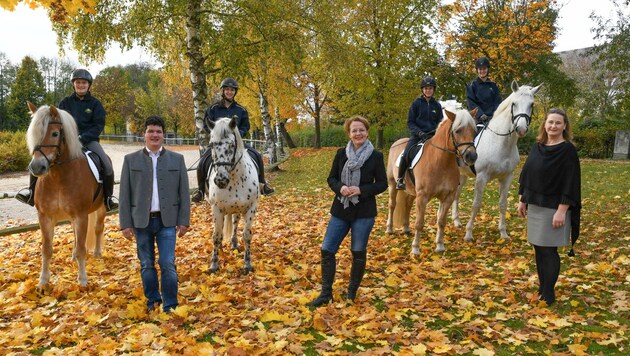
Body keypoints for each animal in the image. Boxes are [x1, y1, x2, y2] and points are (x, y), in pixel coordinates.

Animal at [25, 101, 106, 288]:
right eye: (34, 133)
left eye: (55, 134)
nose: (37, 167)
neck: (58, 177)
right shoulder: (45, 216)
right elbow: (46, 249)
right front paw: (43, 281)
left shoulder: (81, 215)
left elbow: (83, 249)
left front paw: (82, 280)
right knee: (76, 235)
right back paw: (73, 255)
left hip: (101, 208)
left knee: (98, 228)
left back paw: (98, 252)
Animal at [205, 117, 260, 272]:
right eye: (212, 144)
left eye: (231, 145)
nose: (221, 180)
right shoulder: (216, 209)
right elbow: (216, 235)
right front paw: (214, 264)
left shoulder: (251, 208)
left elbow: (247, 235)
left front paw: (247, 263)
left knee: (235, 223)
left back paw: (234, 243)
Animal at [386, 108, 478, 253]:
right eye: (458, 130)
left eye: (474, 131)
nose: (471, 156)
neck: (440, 161)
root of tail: (396, 142)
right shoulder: (423, 196)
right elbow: (419, 223)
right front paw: (415, 249)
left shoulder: (448, 197)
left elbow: (441, 221)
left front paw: (440, 246)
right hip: (392, 184)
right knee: (392, 205)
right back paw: (389, 229)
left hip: (412, 191)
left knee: (407, 205)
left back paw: (406, 228)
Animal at [454, 80, 544, 242]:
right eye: (514, 103)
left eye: (531, 104)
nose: (521, 129)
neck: (500, 142)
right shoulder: (481, 177)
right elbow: (476, 204)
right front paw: (469, 234)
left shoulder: (507, 177)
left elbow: (503, 204)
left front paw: (503, 232)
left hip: (462, 175)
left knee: (456, 195)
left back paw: (456, 221)